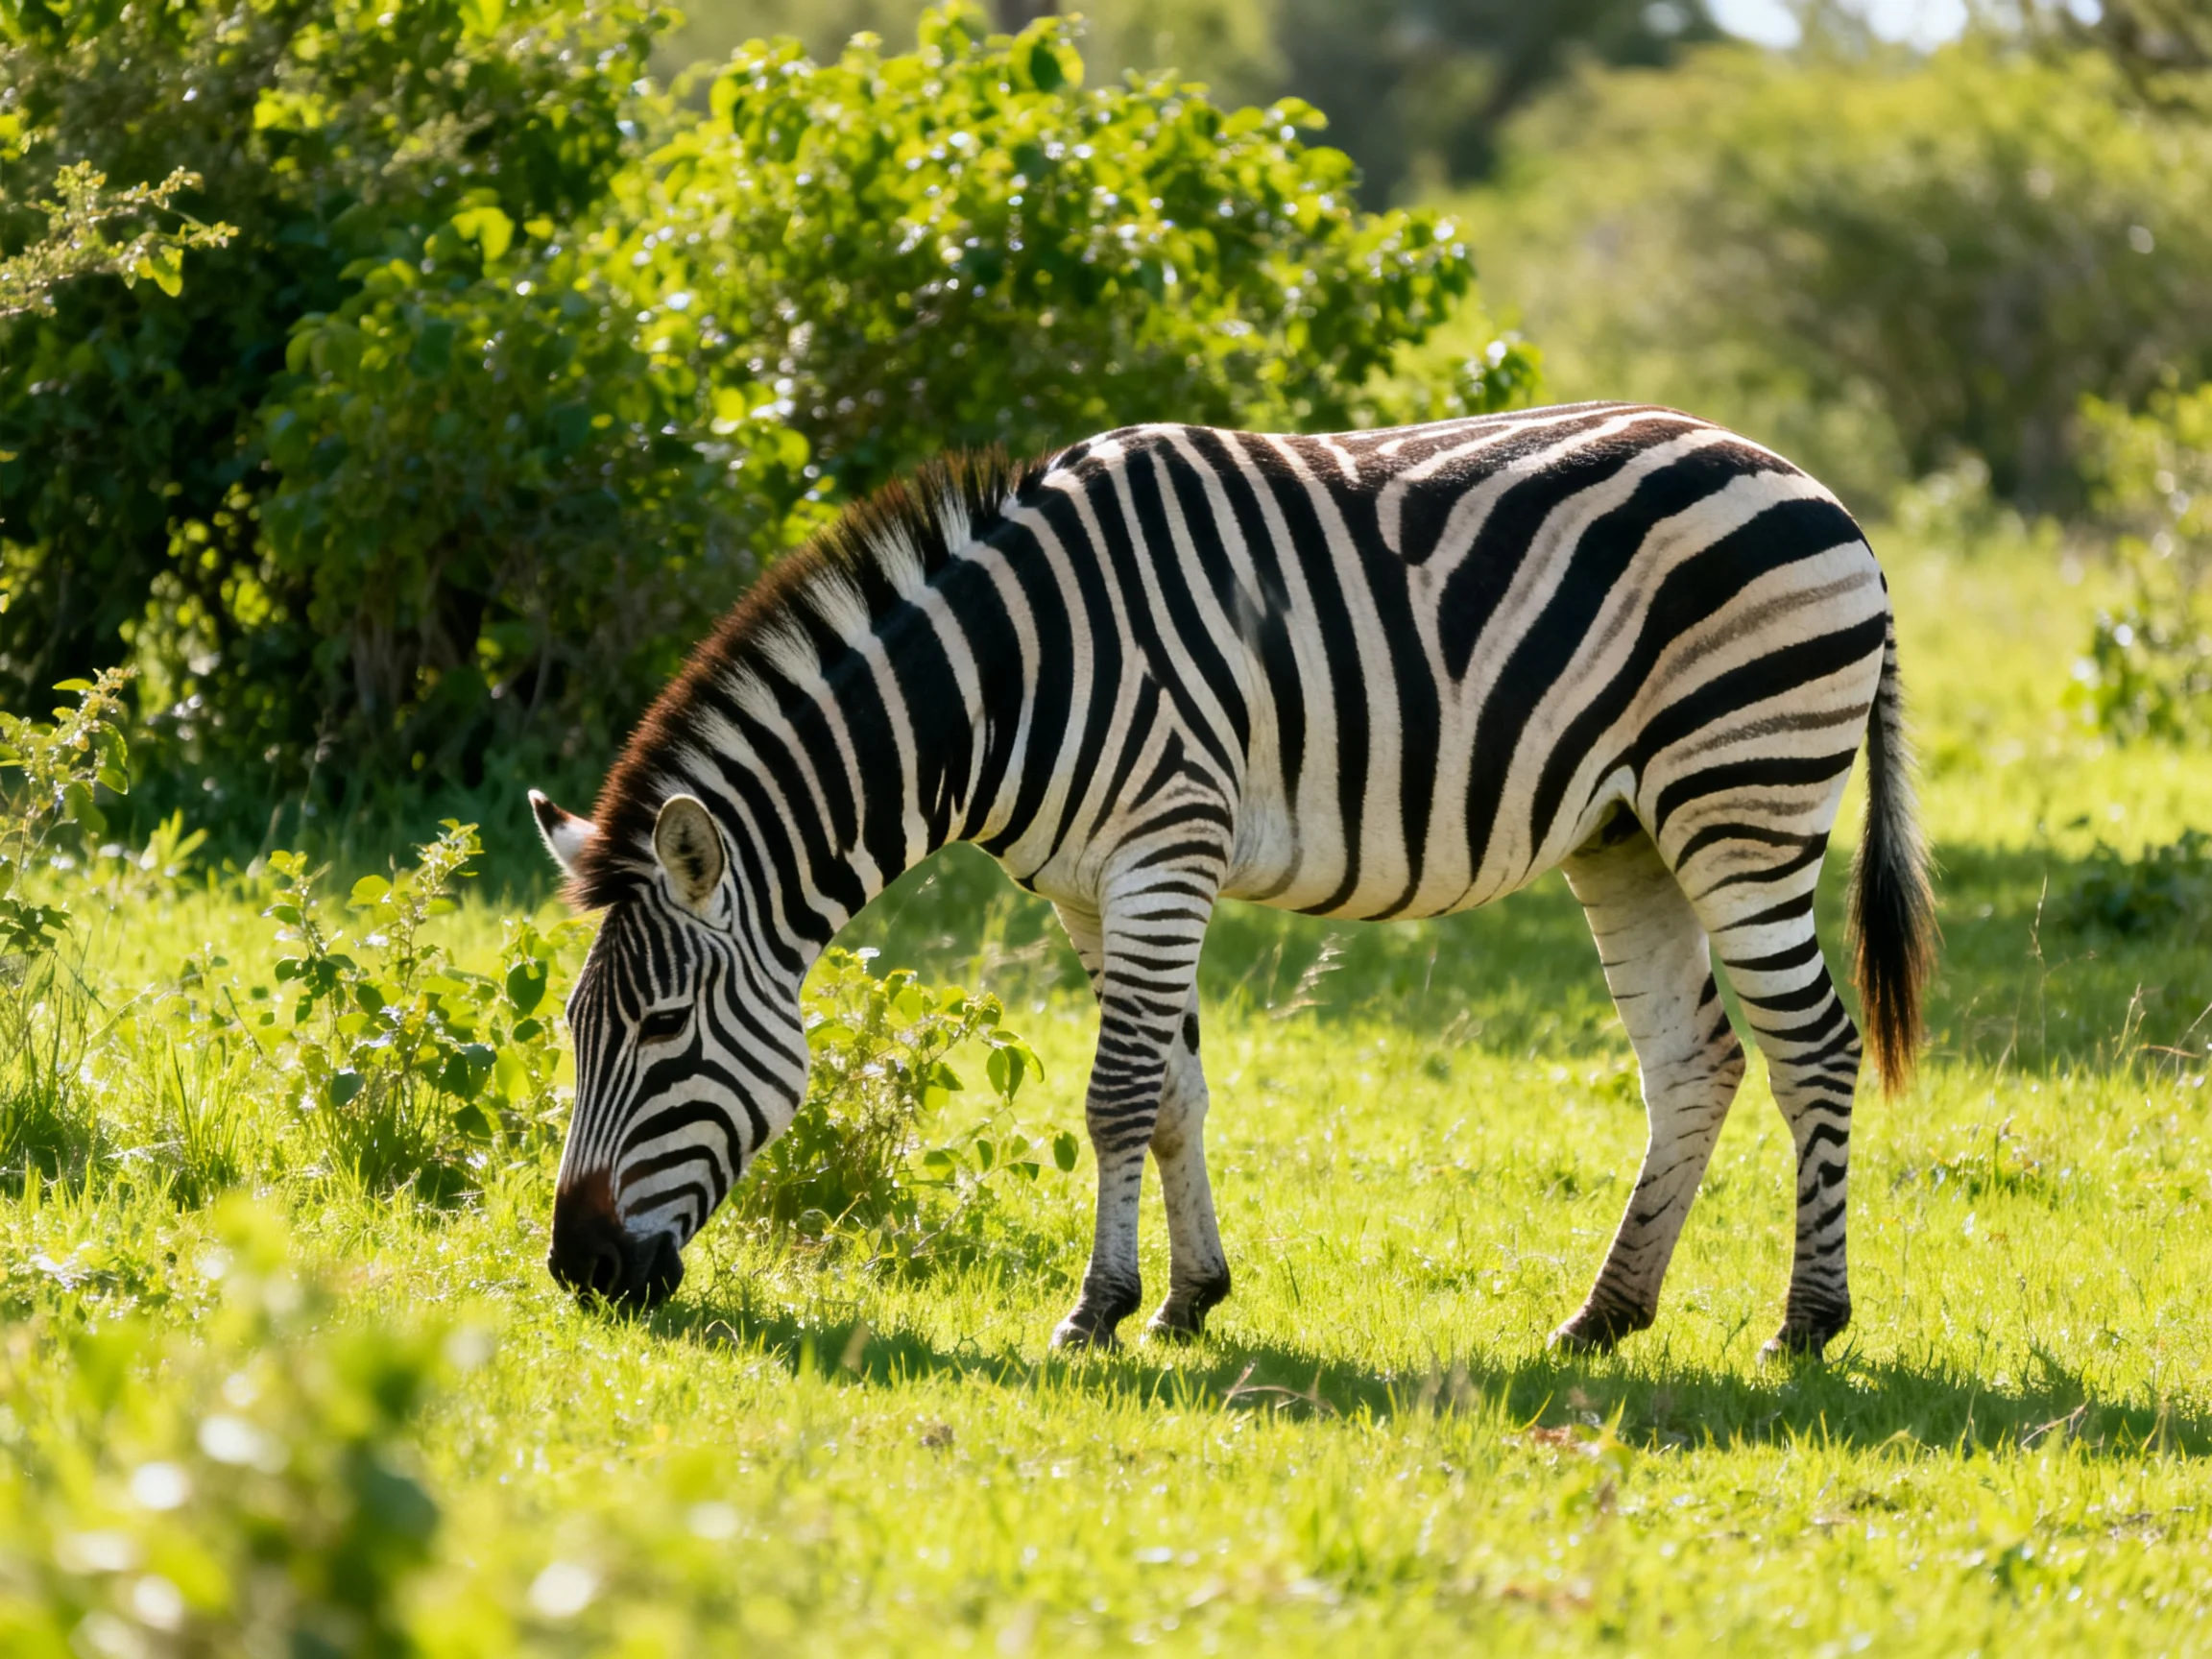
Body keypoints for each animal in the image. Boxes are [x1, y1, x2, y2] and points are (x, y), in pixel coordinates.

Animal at [530, 402, 1935, 1357]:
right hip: (1626, 835)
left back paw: (1808, 1322)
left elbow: (1114, 1098)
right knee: (1697, 1060)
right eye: (573, 1035)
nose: (577, 1270)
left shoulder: (1167, 849)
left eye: (664, 1032)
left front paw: (1094, 1310)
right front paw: (1189, 1301)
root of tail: (1821, 494)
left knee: (1814, 1049)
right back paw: (1604, 1315)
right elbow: (1172, 1096)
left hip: (1742, 802)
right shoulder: (1093, 886)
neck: (1007, 684)